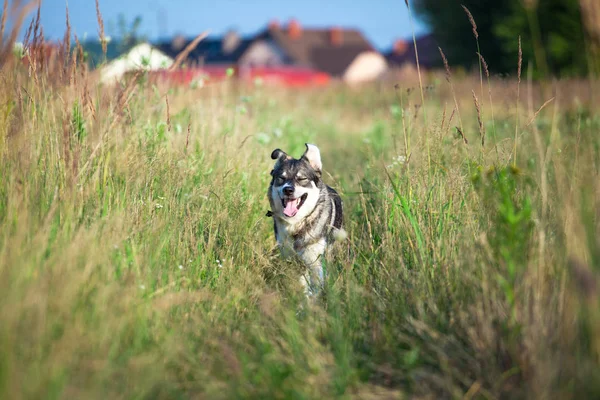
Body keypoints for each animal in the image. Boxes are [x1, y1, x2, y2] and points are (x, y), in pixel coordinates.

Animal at [268, 142, 346, 296]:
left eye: (302, 179)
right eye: (281, 178)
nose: (288, 190)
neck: (296, 224)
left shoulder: (315, 262)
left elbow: (315, 287)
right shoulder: (290, 259)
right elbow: (301, 285)